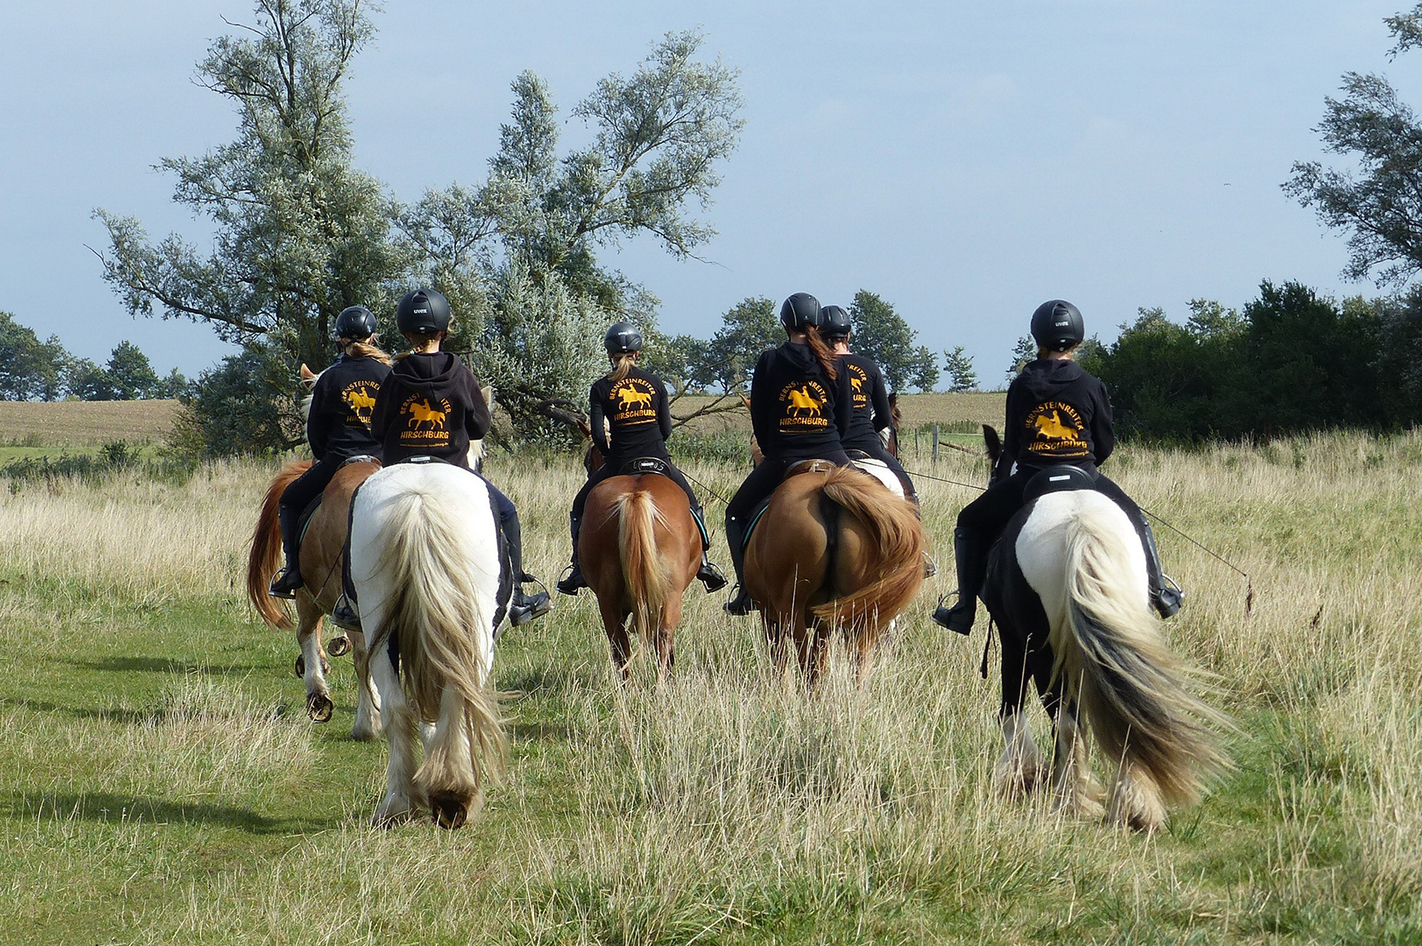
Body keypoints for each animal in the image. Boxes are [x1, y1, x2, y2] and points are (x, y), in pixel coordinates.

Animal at [351, 460, 511, 825]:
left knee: (396, 705)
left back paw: (399, 800)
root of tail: (418, 498)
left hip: (377, 622)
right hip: (478, 634)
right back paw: (455, 794)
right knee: (457, 698)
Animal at [739, 460, 927, 682]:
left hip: (791, 609)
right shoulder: (826, 622)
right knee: (857, 661)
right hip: (859, 610)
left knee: (805, 662)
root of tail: (825, 491)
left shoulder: (770, 617)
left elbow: (781, 663)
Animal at [972, 426, 1228, 825]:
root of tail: (1080, 524)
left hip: (1041, 648)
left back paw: (1071, 798)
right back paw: (1134, 805)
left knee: (1064, 716)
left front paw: (1022, 775)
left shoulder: (1012, 638)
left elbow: (1010, 707)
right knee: (1124, 712)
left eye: (995, 470)